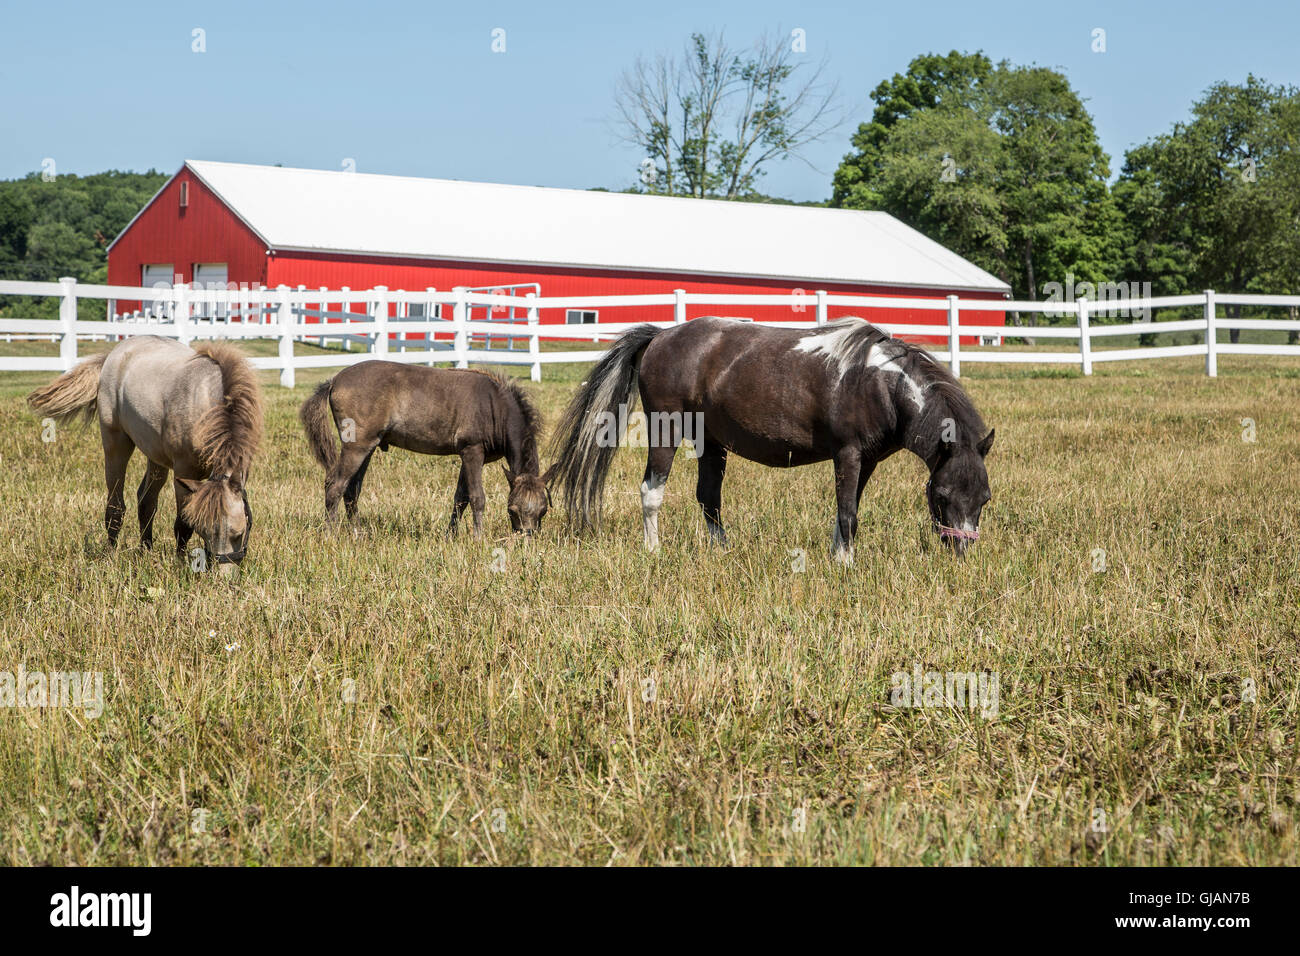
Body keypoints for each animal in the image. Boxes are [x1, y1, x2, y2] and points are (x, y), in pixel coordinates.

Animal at [26, 335, 262, 574]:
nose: (223, 579)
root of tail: (116, 352)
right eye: (204, 532)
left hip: (156, 458)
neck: (206, 404)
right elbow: (183, 524)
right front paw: (179, 564)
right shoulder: (184, 471)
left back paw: (145, 550)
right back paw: (111, 554)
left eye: (239, 534)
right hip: (115, 444)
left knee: (146, 501)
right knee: (115, 506)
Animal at [297, 361, 553, 535]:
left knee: (352, 490)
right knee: (335, 486)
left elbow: (460, 498)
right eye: (512, 509)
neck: (495, 407)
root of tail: (334, 381)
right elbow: (477, 497)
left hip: (367, 447)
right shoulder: (473, 451)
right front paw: (478, 538)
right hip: (356, 446)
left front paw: (451, 536)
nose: (526, 537)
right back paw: (331, 534)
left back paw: (358, 534)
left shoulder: (466, 455)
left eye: (543, 511)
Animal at [551, 317, 993, 564]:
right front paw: (846, 565)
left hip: (710, 442)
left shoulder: (865, 461)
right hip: (667, 429)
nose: (963, 552)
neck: (879, 382)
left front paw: (838, 557)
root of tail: (661, 336)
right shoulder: (847, 455)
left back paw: (722, 551)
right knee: (651, 490)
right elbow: (847, 513)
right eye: (942, 495)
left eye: (984, 498)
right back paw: (653, 550)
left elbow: (846, 509)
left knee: (709, 498)